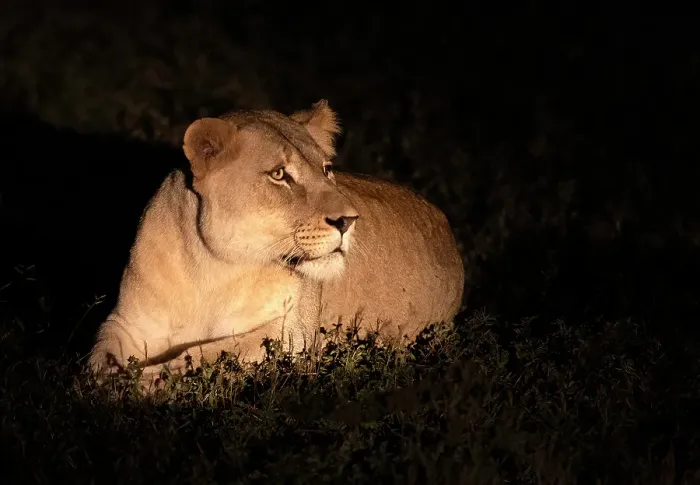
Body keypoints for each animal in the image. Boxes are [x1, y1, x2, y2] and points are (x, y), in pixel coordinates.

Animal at [87, 99, 464, 387]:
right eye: (280, 175)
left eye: (327, 170)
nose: (348, 221)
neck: (211, 271)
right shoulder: (128, 322)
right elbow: (99, 355)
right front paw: (104, 385)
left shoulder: (290, 335)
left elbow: (205, 355)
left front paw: (140, 383)